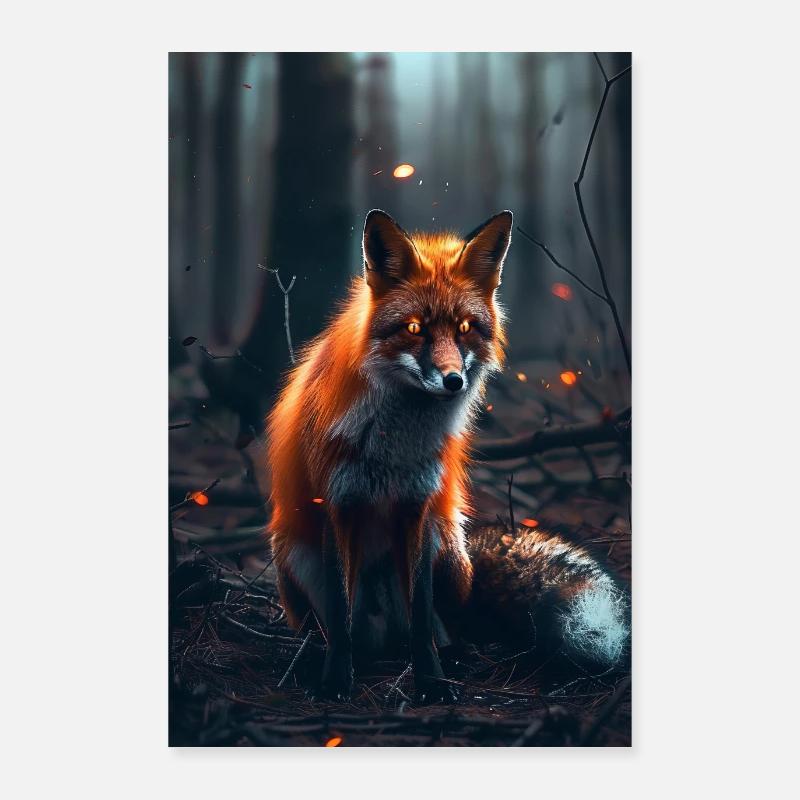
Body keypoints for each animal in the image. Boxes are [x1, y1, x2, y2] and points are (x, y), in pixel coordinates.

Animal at [267, 209, 629, 702]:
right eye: (414, 328)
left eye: (464, 329)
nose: (453, 380)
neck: (395, 445)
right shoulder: (337, 505)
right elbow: (340, 620)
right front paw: (337, 680)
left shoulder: (417, 508)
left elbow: (421, 617)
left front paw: (432, 682)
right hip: (296, 555)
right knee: (346, 631)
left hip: (448, 550)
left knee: (445, 627)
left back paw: (455, 655)